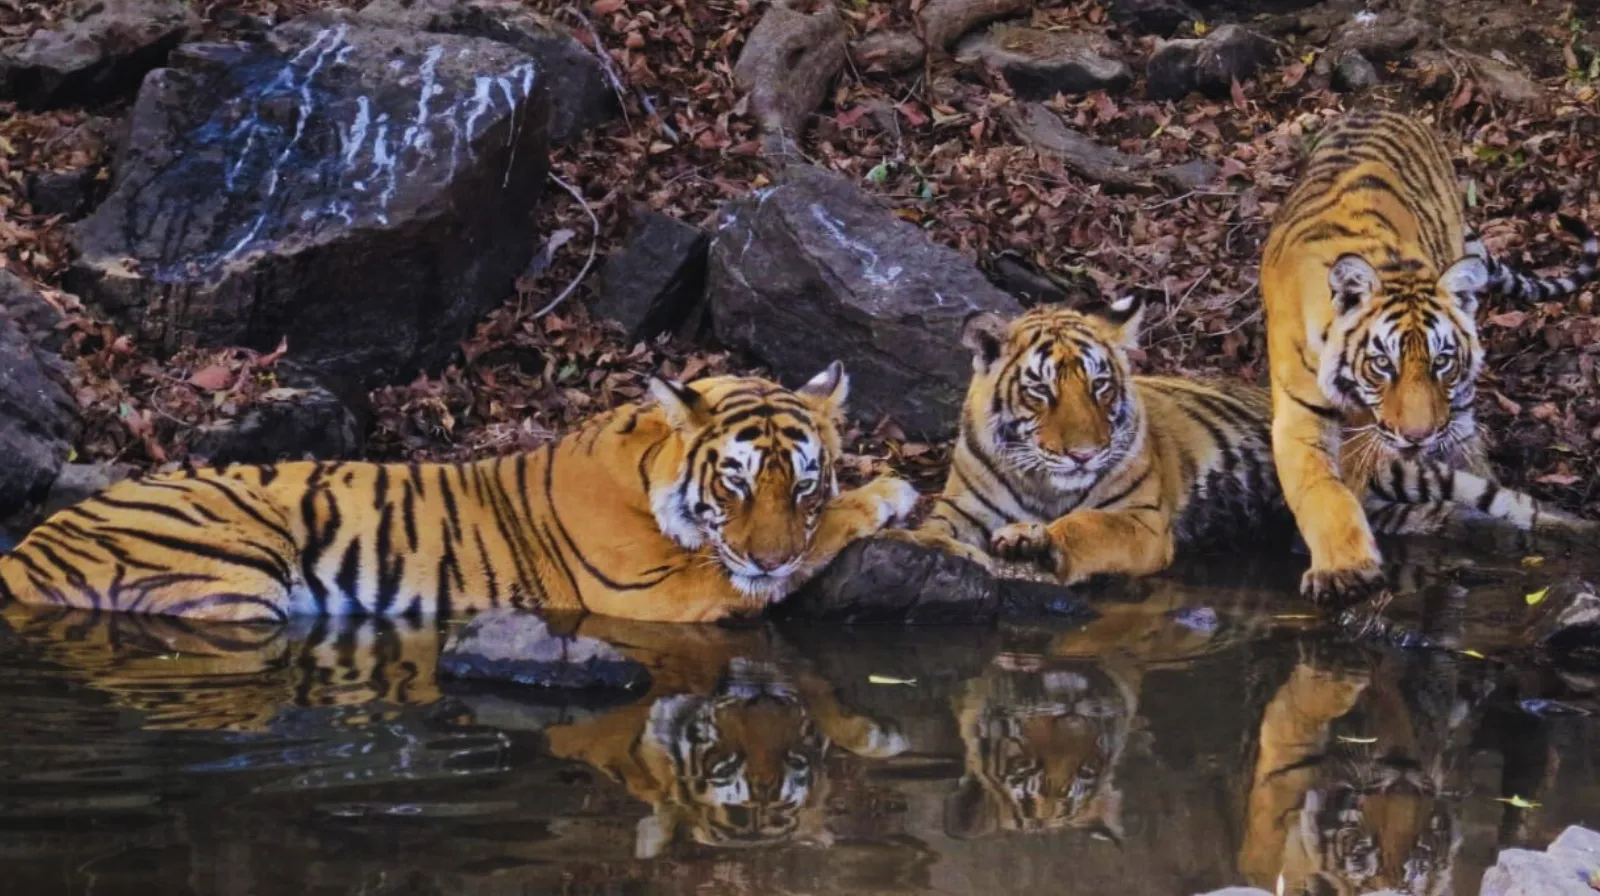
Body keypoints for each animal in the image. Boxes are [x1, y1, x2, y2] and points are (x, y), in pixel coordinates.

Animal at [0, 365, 919, 624]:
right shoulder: (660, 594)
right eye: (734, 481)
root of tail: (25, 547)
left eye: (802, 481)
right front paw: (892, 490)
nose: (767, 561)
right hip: (229, 575)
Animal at [897, 296, 1594, 587]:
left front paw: (1035, 542)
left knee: (1497, 499)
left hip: (1395, 467)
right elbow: (932, 535)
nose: (1084, 453)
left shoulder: (1141, 522)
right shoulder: (959, 512)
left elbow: (1083, 527)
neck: (1042, 480)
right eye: (1040, 392)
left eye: (1098, 386)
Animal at [1259, 107, 1600, 605]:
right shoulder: (1302, 414)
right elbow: (1320, 488)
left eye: (1442, 362)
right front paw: (1344, 567)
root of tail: (1385, 103)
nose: (1419, 437)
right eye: (1383, 364)